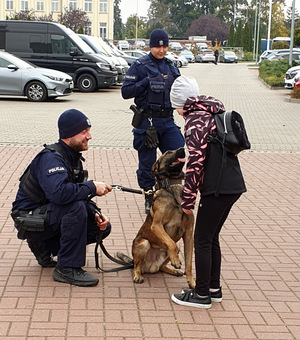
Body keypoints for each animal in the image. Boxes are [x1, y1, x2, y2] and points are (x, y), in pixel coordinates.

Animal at [131, 147, 195, 288]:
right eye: (168, 152)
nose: (182, 148)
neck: (172, 185)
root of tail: (149, 267)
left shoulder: (189, 234)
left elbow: (188, 263)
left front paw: (192, 282)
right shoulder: (157, 225)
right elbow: (171, 243)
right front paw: (175, 260)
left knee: (161, 267)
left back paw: (173, 271)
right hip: (144, 243)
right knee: (136, 266)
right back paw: (138, 275)